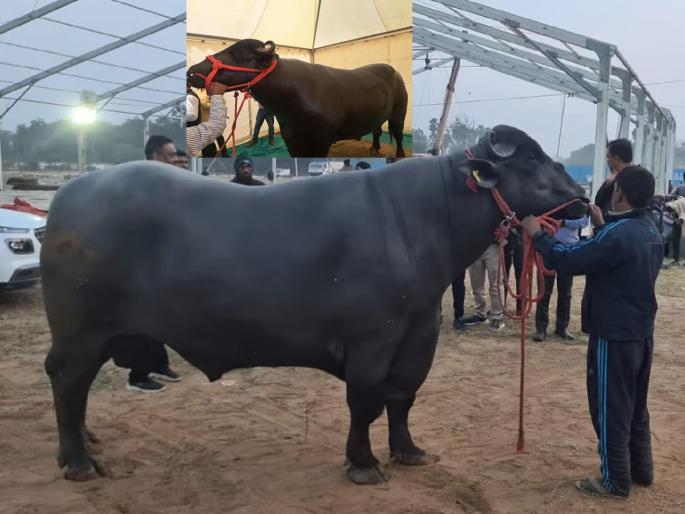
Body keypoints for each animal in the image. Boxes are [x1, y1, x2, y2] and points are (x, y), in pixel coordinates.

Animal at [42, 125, 587, 485]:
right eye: (532, 161)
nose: (581, 197)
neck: (421, 218)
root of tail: (71, 193)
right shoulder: (373, 338)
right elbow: (365, 401)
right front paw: (363, 463)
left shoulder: (418, 335)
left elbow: (402, 398)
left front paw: (407, 451)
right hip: (80, 332)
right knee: (68, 383)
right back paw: (78, 462)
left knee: (78, 389)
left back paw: (87, 442)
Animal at [186, 39, 408, 158]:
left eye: (239, 51)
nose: (192, 71)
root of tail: (395, 72)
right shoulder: (291, 139)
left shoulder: (322, 139)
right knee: (377, 130)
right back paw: (374, 148)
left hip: (399, 113)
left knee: (397, 135)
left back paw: (399, 155)